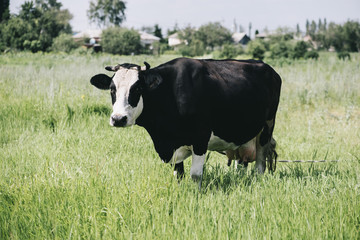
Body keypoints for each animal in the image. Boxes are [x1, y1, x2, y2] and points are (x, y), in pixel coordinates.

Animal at [90, 57, 282, 179]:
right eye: (112, 89)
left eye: (137, 88)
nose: (118, 119)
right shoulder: (173, 144)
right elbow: (179, 175)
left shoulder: (201, 137)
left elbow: (195, 175)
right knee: (241, 162)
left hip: (267, 127)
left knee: (260, 164)